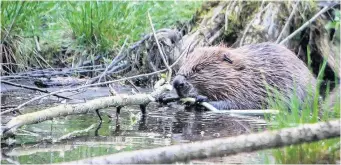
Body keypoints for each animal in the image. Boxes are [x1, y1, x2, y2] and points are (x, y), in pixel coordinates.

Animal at [173, 42, 316, 109]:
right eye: (182, 65)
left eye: (198, 68)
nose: (176, 83)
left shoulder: (251, 88)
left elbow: (240, 103)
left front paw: (202, 99)